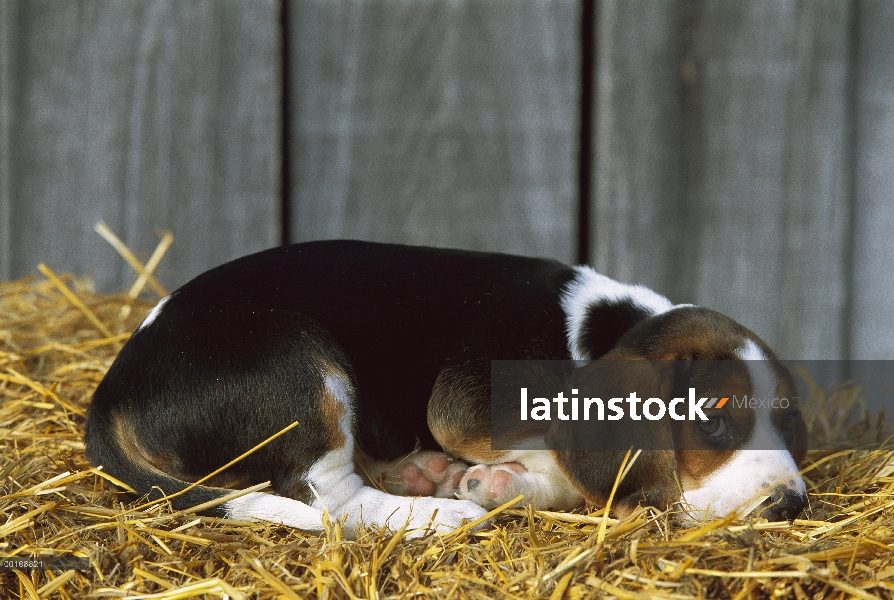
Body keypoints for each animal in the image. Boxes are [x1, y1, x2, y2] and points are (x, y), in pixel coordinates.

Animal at [86, 241, 812, 536]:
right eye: (713, 422)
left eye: (789, 424)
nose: (792, 504)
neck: (599, 331)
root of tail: (111, 389)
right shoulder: (463, 408)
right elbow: (554, 445)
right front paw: (499, 482)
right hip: (301, 361)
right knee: (329, 496)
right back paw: (435, 510)